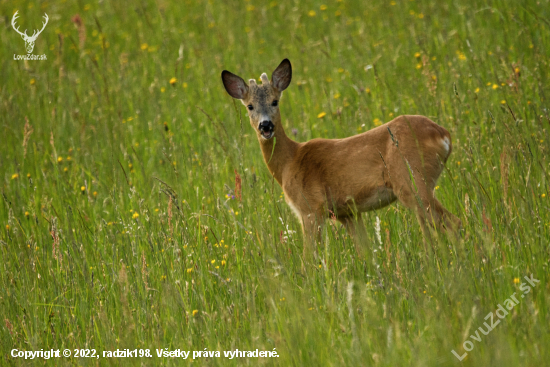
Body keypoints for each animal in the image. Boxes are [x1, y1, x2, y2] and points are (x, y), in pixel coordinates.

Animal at [222, 59, 464, 260]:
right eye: (250, 106)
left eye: (275, 101)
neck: (290, 162)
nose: (266, 126)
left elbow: (309, 258)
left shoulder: (311, 207)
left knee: (452, 223)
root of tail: (443, 135)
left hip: (411, 181)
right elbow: (365, 251)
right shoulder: (348, 213)